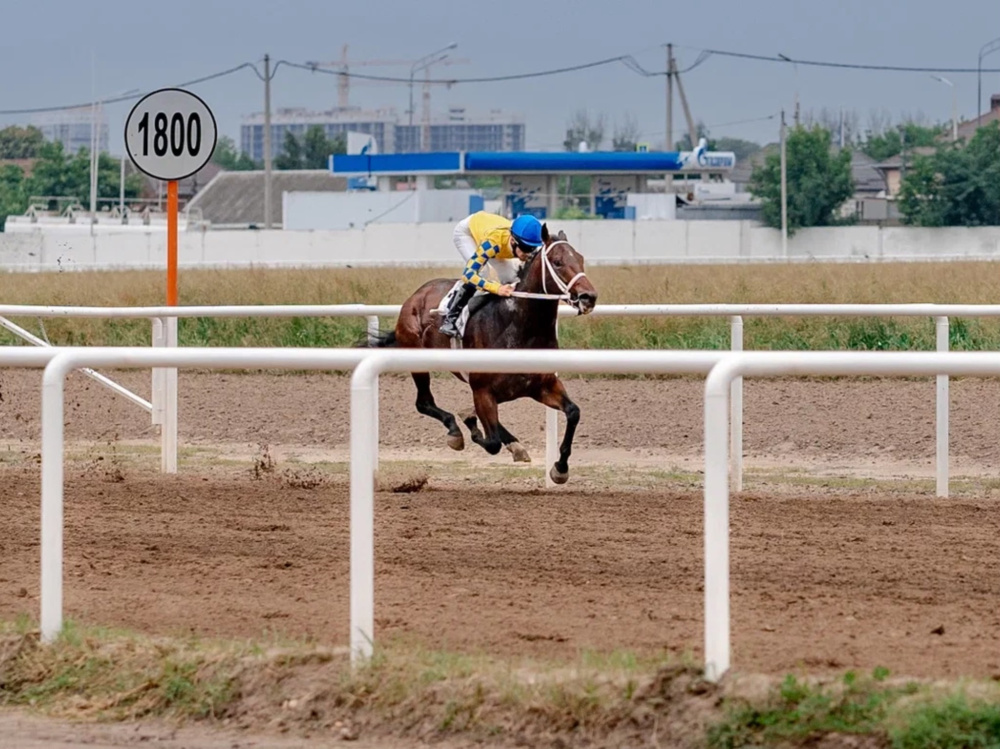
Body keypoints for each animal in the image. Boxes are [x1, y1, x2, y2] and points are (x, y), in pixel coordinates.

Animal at [368, 222, 600, 482]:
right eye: (558, 261)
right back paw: (456, 430)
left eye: (580, 259)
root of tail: (416, 295)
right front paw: (468, 422)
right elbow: (492, 442)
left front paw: (560, 468)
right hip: (418, 361)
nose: (588, 297)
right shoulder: (482, 391)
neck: (520, 328)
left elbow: (573, 412)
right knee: (424, 402)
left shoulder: (544, 386)